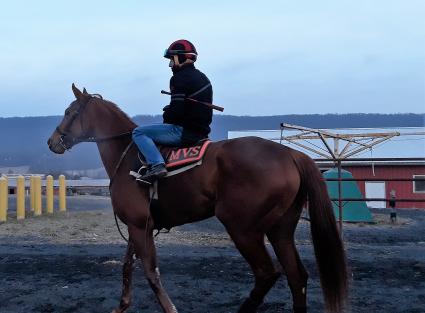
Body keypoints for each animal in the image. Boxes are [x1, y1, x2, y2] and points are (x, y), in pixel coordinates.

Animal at [46, 83, 346, 312]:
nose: (52, 142)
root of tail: (291, 154)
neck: (128, 155)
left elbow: (151, 272)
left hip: (243, 229)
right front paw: (121, 306)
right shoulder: (137, 225)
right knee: (297, 277)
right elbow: (127, 267)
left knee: (266, 274)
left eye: (69, 112)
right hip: (280, 229)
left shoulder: (139, 226)